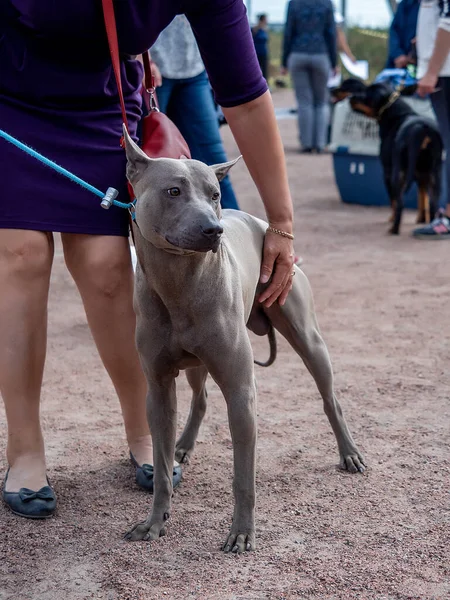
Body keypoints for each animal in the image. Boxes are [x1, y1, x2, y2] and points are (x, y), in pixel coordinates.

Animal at [123, 130, 366, 552]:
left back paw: (349, 453)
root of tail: (261, 223)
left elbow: (243, 476)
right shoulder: (158, 389)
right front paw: (154, 522)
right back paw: (184, 445)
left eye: (215, 194)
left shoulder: (240, 392)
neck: (179, 284)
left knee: (330, 398)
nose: (213, 230)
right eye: (173, 191)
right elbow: (162, 469)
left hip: (309, 339)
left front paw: (241, 532)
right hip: (197, 364)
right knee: (201, 398)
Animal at [332, 77, 442, 232]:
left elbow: (393, 201)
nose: (351, 97)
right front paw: (421, 220)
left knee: (400, 202)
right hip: (435, 173)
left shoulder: (388, 171)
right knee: (434, 202)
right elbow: (422, 198)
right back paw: (432, 225)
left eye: (367, 94)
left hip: (398, 173)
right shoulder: (421, 173)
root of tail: (422, 129)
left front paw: (392, 219)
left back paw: (394, 229)